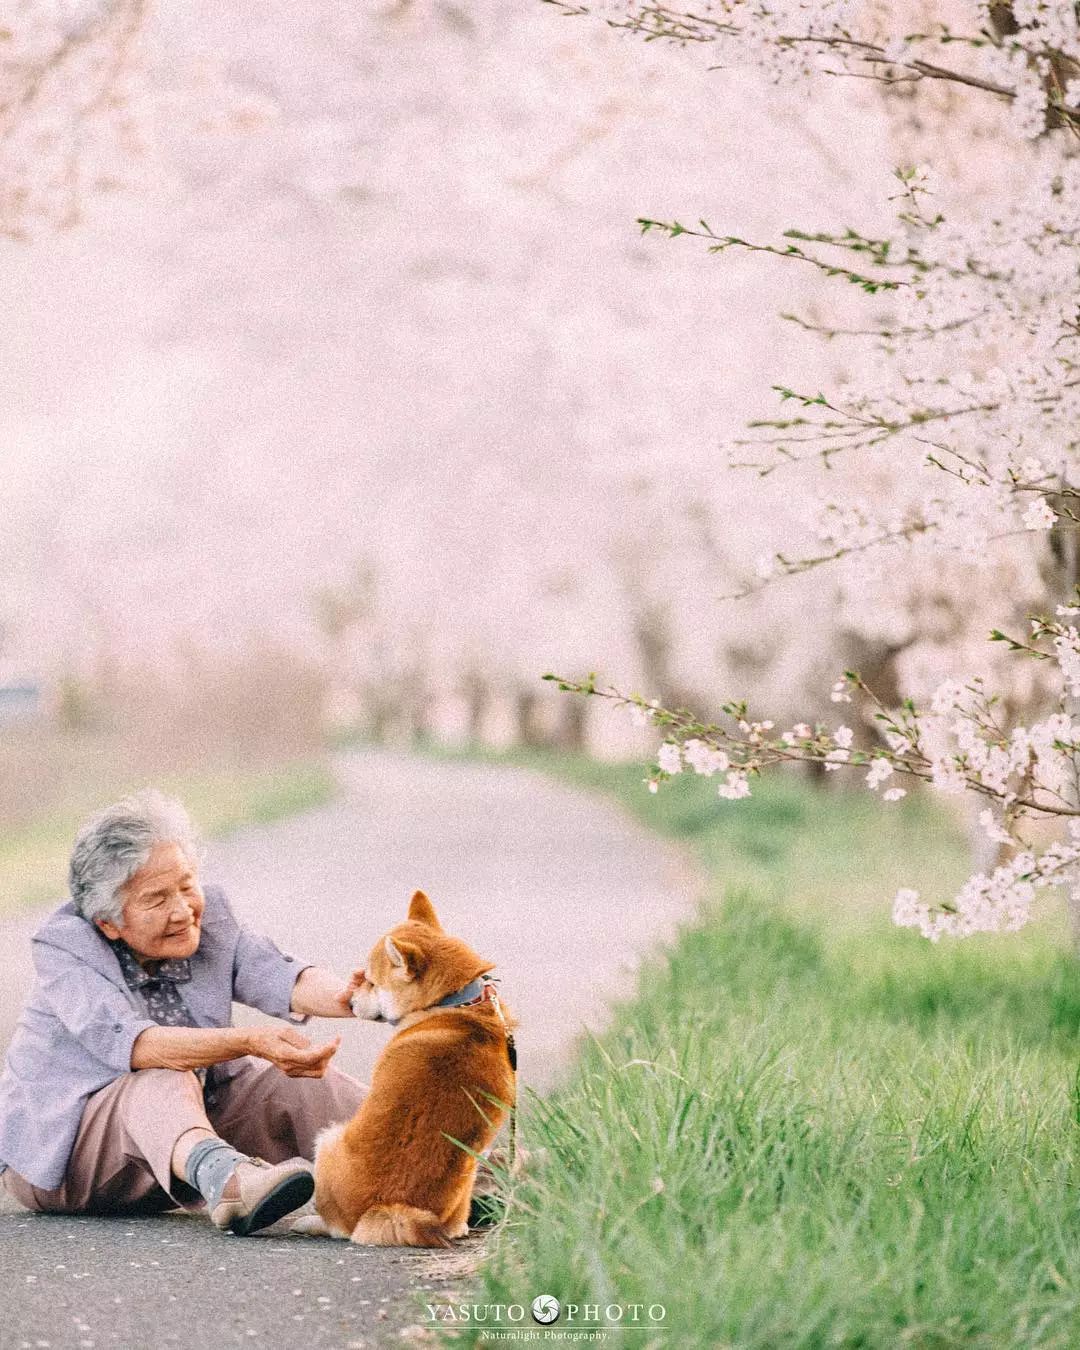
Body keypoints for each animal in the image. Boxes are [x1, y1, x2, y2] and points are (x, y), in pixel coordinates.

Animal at [310, 891, 515, 1247]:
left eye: (371, 982)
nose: (349, 1002)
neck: (456, 1004)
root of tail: (391, 1205)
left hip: (326, 1139)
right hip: (468, 1171)